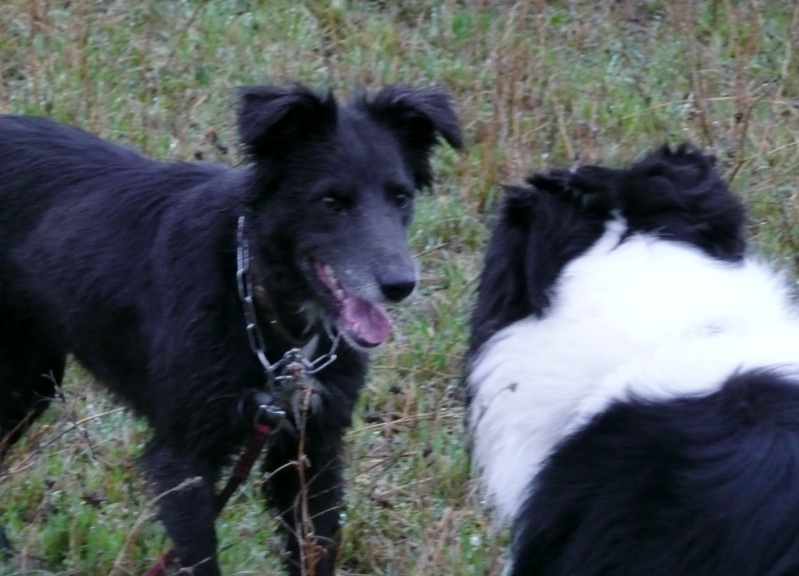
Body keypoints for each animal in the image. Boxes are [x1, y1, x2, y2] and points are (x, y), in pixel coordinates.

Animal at [0, 82, 462, 576]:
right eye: (330, 202)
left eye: (401, 197)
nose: (400, 285)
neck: (259, 296)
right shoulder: (183, 459)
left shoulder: (311, 448)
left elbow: (315, 548)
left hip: (31, 381)